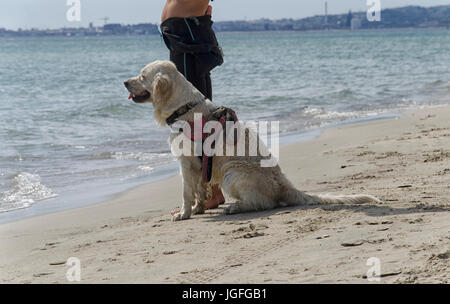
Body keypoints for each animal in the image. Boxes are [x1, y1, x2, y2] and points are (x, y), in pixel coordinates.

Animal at [124, 60, 380, 221]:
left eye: (142, 76)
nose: (125, 82)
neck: (183, 107)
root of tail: (286, 184)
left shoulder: (186, 163)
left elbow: (187, 192)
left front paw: (184, 213)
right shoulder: (198, 165)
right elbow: (199, 190)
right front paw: (198, 209)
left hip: (232, 171)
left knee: (265, 203)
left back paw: (236, 207)